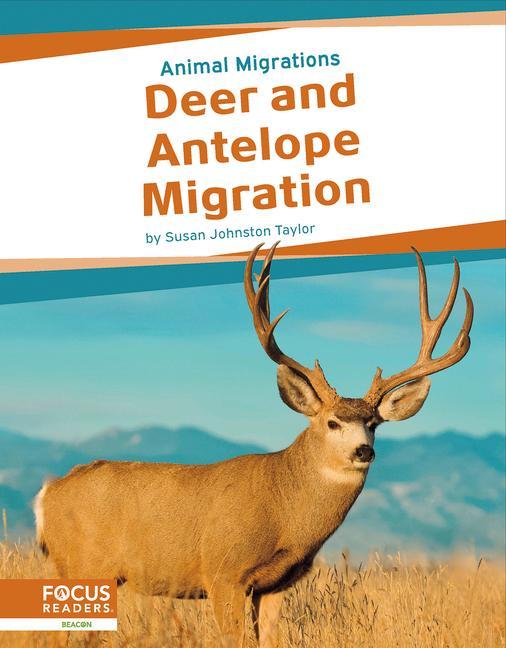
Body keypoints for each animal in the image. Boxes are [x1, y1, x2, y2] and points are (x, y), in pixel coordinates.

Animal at [34, 243, 473, 647]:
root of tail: (47, 494)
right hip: (82, 565)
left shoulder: (274, 584)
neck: (283, 507)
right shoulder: (223, 572)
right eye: (332, 422)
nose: (363, 451)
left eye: (374, 424)